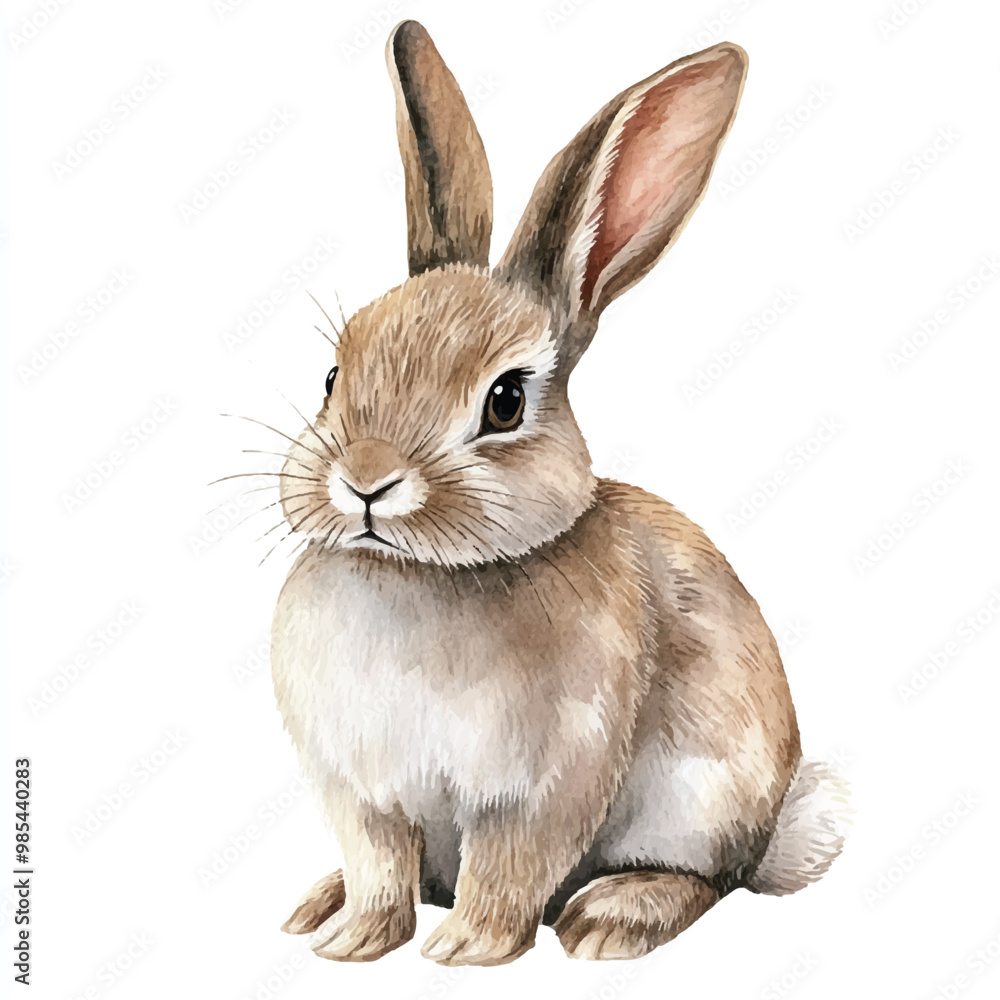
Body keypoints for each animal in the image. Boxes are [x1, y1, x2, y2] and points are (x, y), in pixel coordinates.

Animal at [269, 19, 850, 966]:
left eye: (505, 402)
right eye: (331, 377)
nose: (364, 481)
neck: (423, 574)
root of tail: (775, 828)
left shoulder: (544, 785)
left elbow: (509, 869)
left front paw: (466, 949)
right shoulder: (363, 792)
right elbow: (380, 869)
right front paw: (351, 941)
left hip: (702, 801)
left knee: (705, 879)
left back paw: (615, 917)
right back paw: (318, 903)